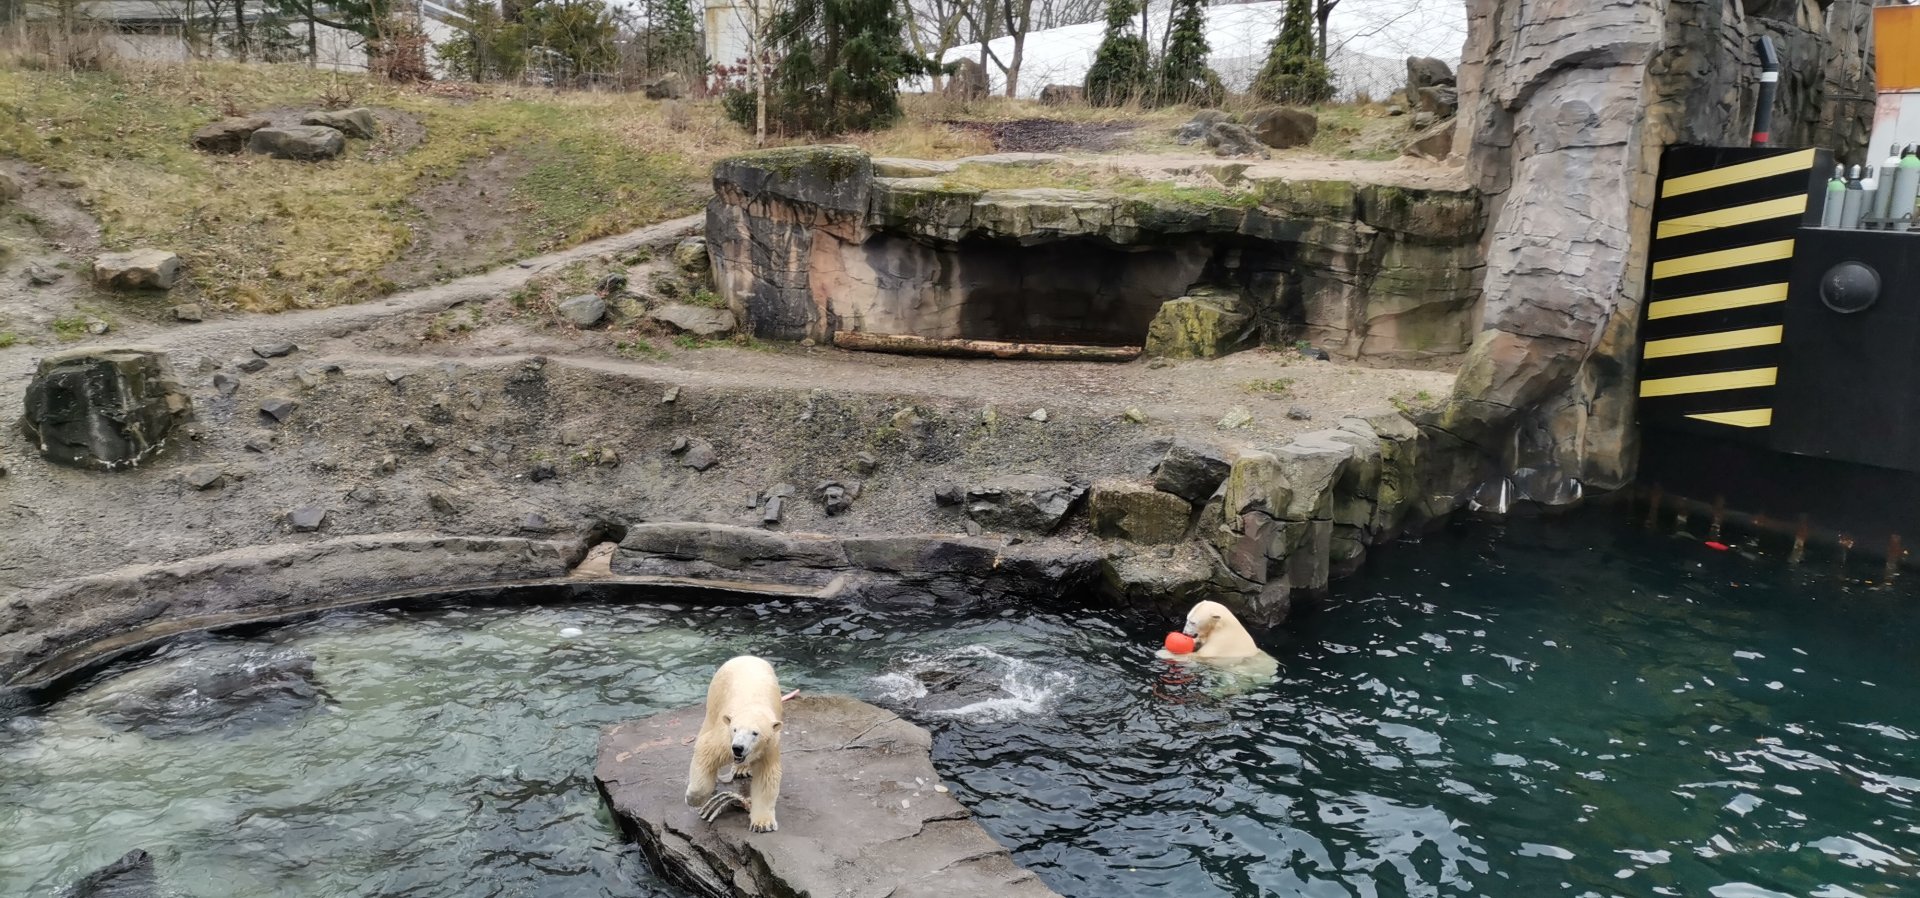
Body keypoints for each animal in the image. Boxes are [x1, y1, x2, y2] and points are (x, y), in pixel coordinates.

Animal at [684, 655, 785, 833]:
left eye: (755, 733)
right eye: (735, 730)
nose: (738, 748)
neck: (753, 706)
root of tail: (745, 656)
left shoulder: (769, 746)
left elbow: (766, 776)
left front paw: (762, 824)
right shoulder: (725, 738)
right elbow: (706, 752)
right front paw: (693, 799)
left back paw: (742, 769)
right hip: (715, 696)